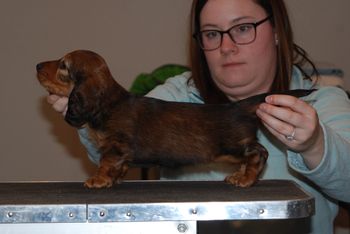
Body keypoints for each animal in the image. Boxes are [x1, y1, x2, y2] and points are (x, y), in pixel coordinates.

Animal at [36, 49, 314, 188]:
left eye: (63, 66)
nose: (37, 65)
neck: (110, 103)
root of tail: (237, 107)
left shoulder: (115, 146)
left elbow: (106, 163)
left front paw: (99, 180)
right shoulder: (120, 152)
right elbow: (119, 166)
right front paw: (113, 179)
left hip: (232, 146)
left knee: (259, 153)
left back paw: (246, 179)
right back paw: (240, 175)